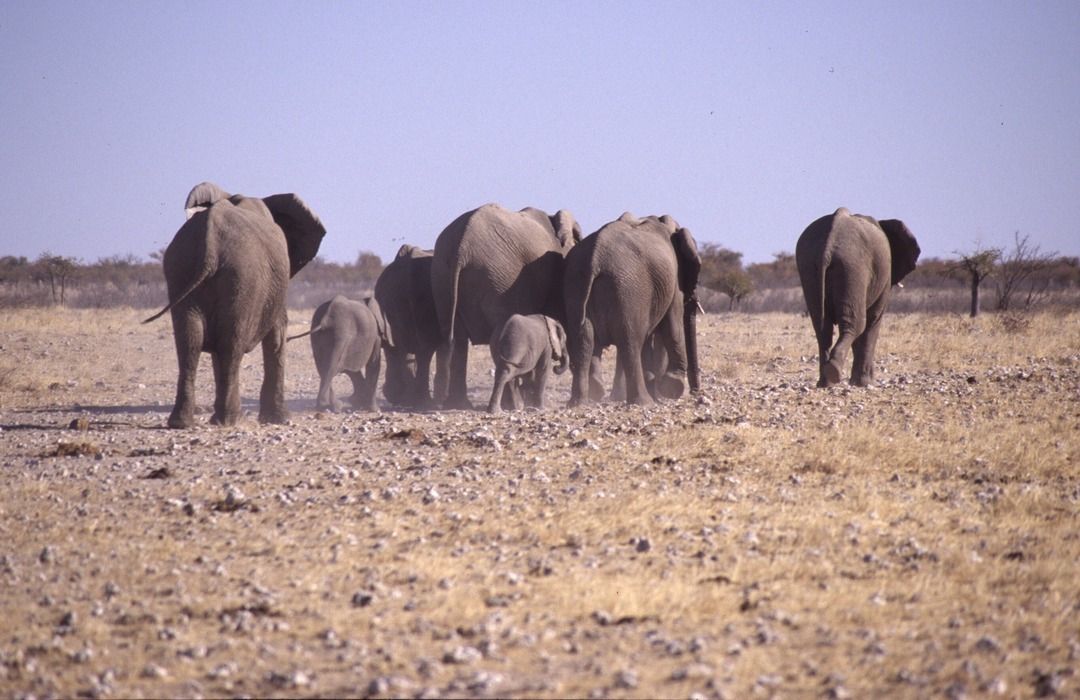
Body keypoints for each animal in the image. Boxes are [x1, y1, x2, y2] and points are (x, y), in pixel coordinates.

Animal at [145, 180, 326, 425]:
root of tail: (210, 242)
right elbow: (277, 334)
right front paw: (280, 419)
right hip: (242, 276)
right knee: (231, 344)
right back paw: (230, 420)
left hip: (181, 268)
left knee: (189, 343)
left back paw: (182, 423)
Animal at [432, 202, 583, 410]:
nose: (556, 367)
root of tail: (461, 248)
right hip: (499, 278)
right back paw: (512, 405)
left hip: (442, 276)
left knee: (457, 339)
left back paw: (459, 404)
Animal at [561, 211, 704, 404]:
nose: (696, 394)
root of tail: (595, 258)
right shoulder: (674, 279)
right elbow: (673, 326)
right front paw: (673, 386)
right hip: (629, 289)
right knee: (631, 342)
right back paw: (644, 402)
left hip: (576, 284)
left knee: (583, 342)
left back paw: (579, 403)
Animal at [794, 206, 920, 388]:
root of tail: (828, 245)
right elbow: (873, 321)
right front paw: (863, 383)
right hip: (853, 267)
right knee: (856, 323)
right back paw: (833, 372)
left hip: (809, 265)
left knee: (822, 327)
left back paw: (825, 382)